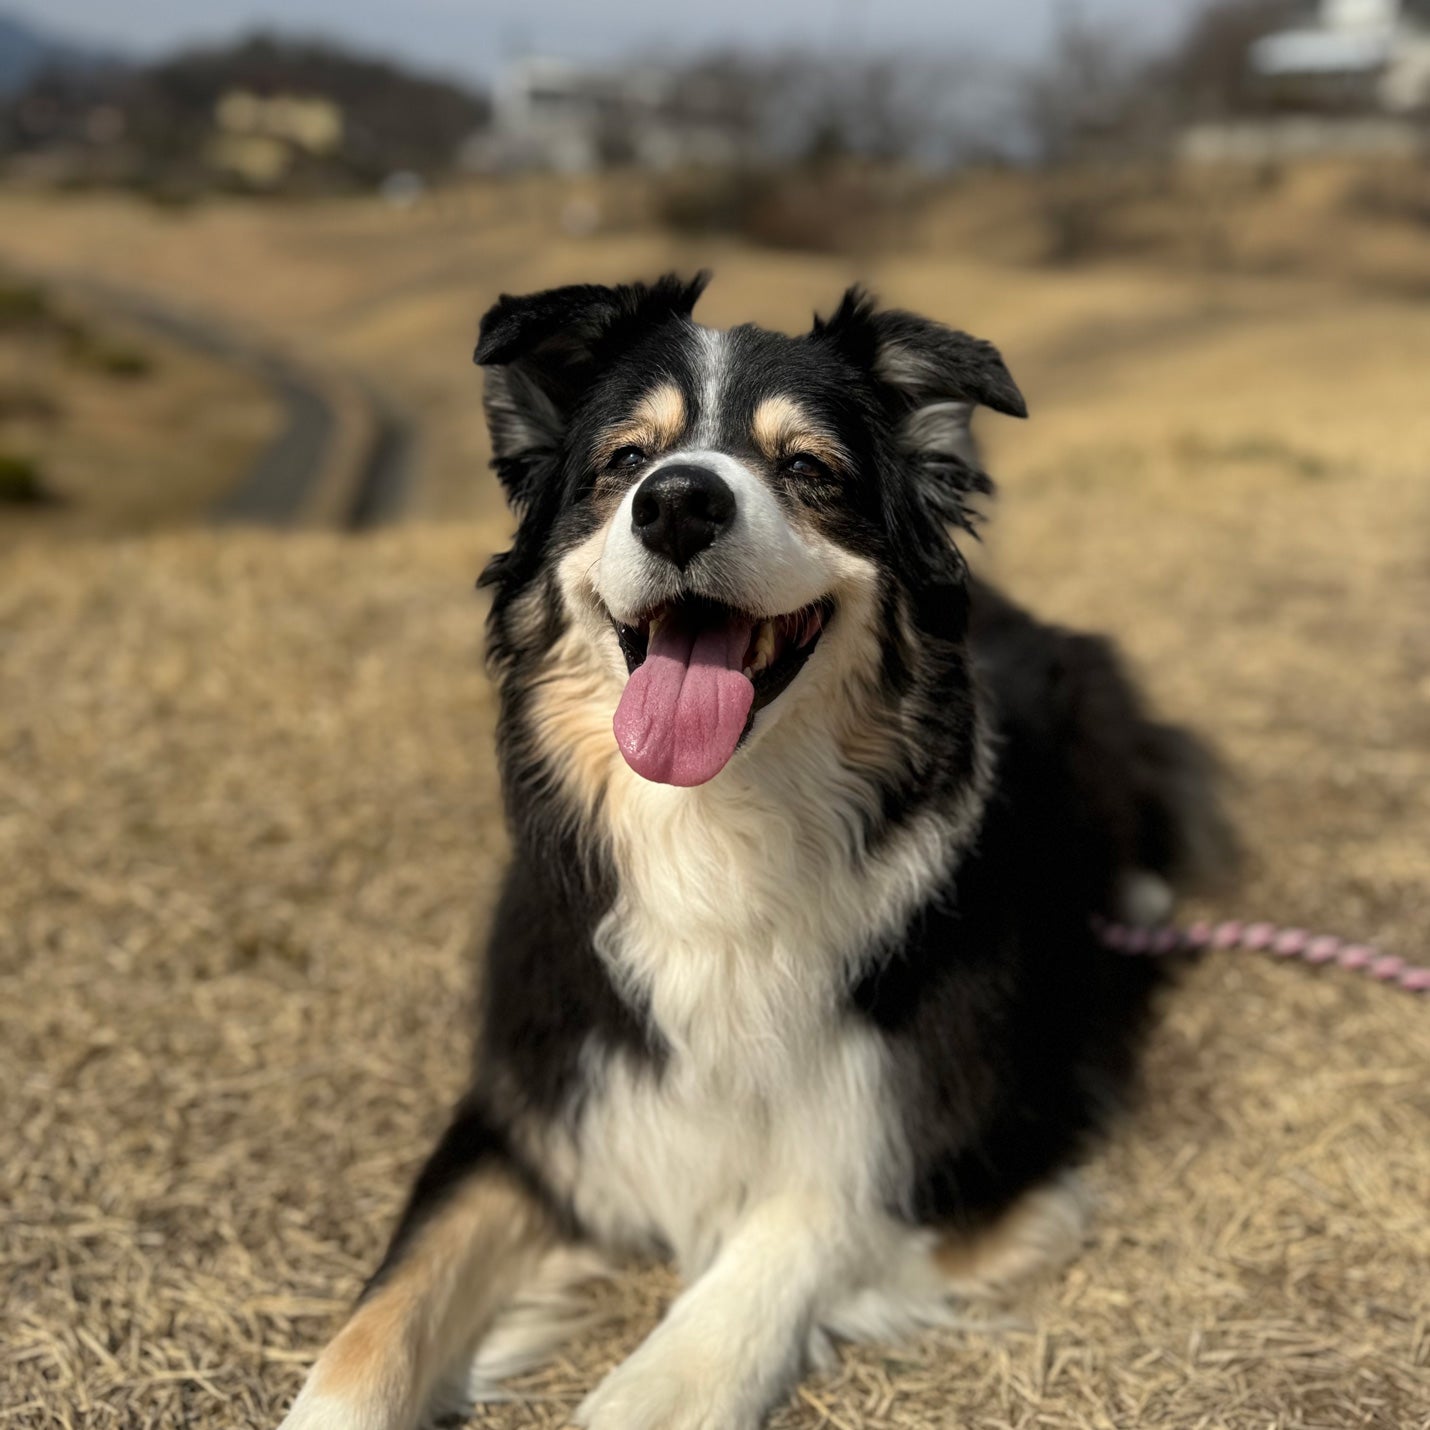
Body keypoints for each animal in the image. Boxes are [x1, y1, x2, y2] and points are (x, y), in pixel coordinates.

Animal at [278, 273, 1229, 1430]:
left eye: (809, 468)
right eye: (626, 460)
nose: (679, 501)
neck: (718, 825)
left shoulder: (960, 1128)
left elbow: (793, 1223)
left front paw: (651, 1386)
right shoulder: (541, 1102)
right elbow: (380, 1317)